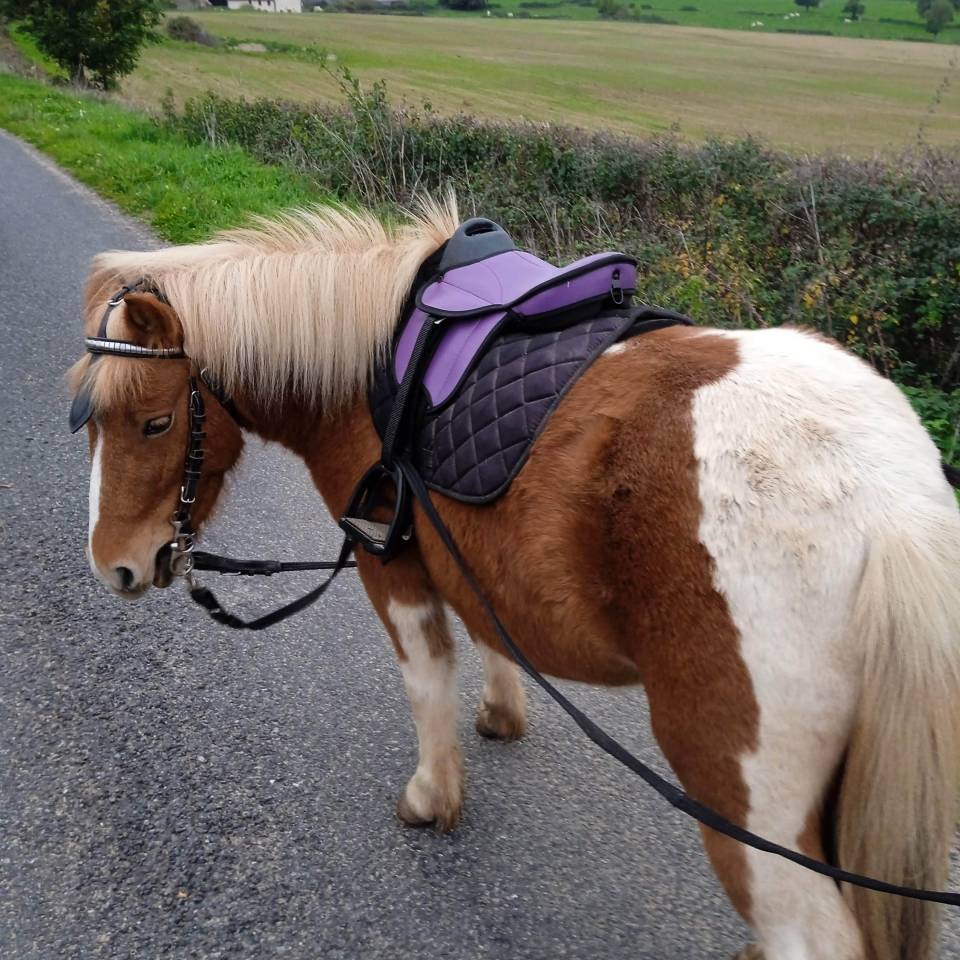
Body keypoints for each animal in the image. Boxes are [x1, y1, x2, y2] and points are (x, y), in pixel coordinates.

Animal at [71, 199, 960, 960]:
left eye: (153, 421)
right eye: (95, 421)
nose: (116, 565)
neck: (372, 365)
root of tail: (889, 499)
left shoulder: (388, 558)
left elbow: (427, 675)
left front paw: (433, 796)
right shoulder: (470, 558)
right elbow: (487, 628)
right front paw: (502, 713)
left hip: (746, 801)